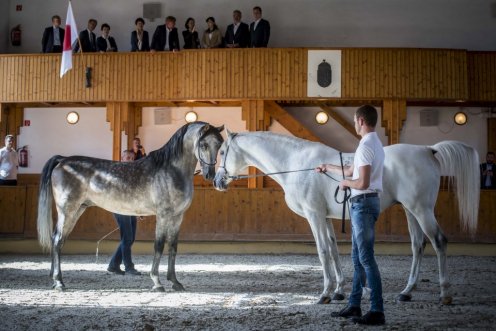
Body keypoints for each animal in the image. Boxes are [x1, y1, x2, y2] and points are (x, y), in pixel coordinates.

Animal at [37, 122, 224, 290]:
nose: (210, 175)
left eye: (220, 145)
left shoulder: (178, 217)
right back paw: (59, 282)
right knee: (57, 240)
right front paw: (157, 282)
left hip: (77, 210)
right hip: (67, 211)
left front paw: (175, 282)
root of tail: (62, 161)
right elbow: (159, 246)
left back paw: (54, 278)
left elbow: (173, 246)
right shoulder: (163, 215)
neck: (171, 169)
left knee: (58, 240)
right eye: (203, 144)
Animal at [214, 130, 480, 306]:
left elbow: (322, 251)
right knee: (418, 245)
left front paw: (325, 293)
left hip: (421, 209)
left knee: (439, 241)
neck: (297, 164)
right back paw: (407, 291)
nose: (216, 181)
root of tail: (427, 149)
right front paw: (339, 290)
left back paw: (445, 294)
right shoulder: (325, 217)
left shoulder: (314, 215)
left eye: (222, 151)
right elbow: (333, 250)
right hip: (410, 210)